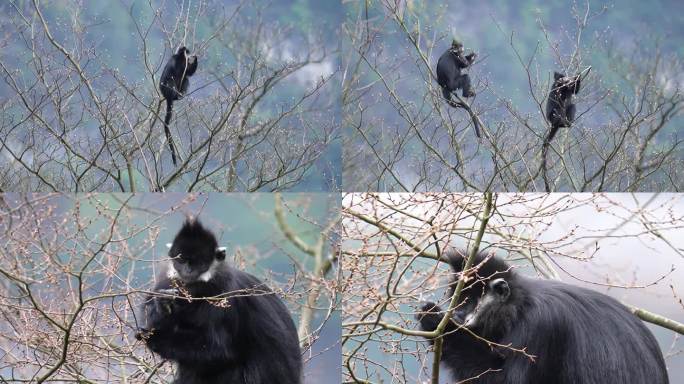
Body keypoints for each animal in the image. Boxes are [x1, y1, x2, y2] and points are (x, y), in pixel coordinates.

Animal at [136, 219, 302, 384]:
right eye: (182, 260)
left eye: (200, 262)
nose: (188, 270)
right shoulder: (166, 281)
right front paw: (162, 305)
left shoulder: (227, 294)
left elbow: (219, 351)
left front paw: (155, 338)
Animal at [416, 252, 668, 384]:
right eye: (459, 301)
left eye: (468, 301)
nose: (458, 314)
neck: (519, 307)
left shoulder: (541, 325)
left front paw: (435, 319)